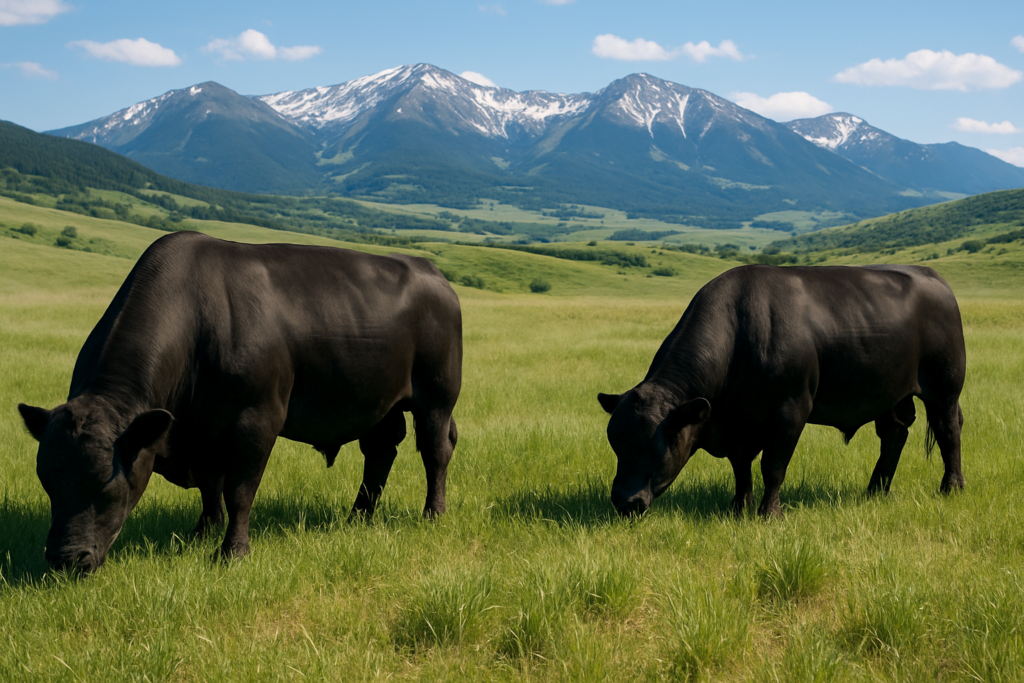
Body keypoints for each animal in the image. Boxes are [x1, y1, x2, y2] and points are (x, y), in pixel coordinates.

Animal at [18, 231, 462, 572]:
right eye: (47, 482)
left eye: (107, 488)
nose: (64, 560)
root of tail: (432, 271)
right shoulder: (202, 430)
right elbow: (210, 485)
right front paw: (202, 532)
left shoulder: (256, 419)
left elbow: (239, 490)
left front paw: (232, 552)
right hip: (380, 404)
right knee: (380, 452)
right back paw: (358, 516)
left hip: (437, 396)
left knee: (435, 452)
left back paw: (433, 513)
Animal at [598, 264, 966, 518]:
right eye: (616, 445)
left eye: (656, 450)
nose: (624, 501)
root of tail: (931, 276)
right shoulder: (738, 425)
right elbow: (741, 467)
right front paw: (739, 507)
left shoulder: (789, 412)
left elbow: (772, 466)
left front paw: (768, 513)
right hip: (890, 395)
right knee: (894, 434)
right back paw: (875, 490)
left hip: (944, 388)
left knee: (948, 431)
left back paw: (952, 487)